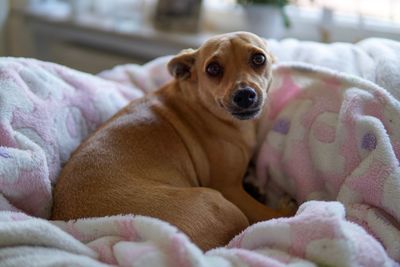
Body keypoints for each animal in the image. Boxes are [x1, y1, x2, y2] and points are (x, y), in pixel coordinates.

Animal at [51, 31, 296, 251]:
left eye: (259, 59)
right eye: (213, 69)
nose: (244, 94)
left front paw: (254, 182)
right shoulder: (230, 188)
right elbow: (264, 214)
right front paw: (281, 207)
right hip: (220, 204)